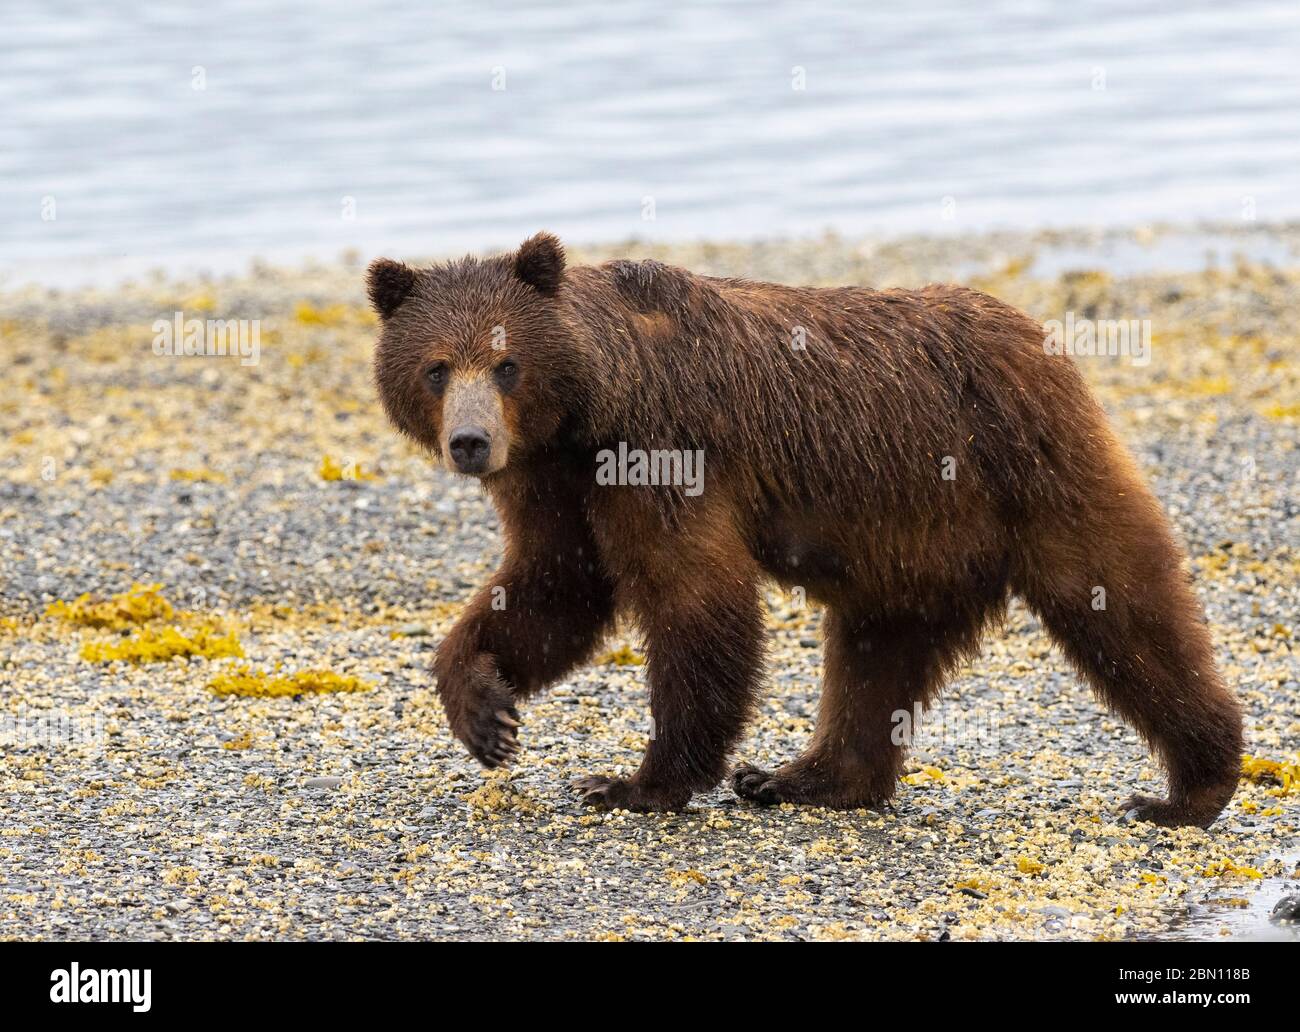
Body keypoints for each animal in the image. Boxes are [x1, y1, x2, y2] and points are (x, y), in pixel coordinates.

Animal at [368, 232, 1242, 828]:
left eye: (506, 362)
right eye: (437, 367)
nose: (471, 442)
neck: (584, 415)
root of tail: (1041, 339)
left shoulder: (662, 450)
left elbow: (693, 598)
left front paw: (634, 782)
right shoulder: (553, 482)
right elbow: (555, 587)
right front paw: (486, 711)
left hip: (1028, 467)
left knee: (1121, 601)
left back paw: (1190, 785)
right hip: (915, 545)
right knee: (874, 656)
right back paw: (803, 777)